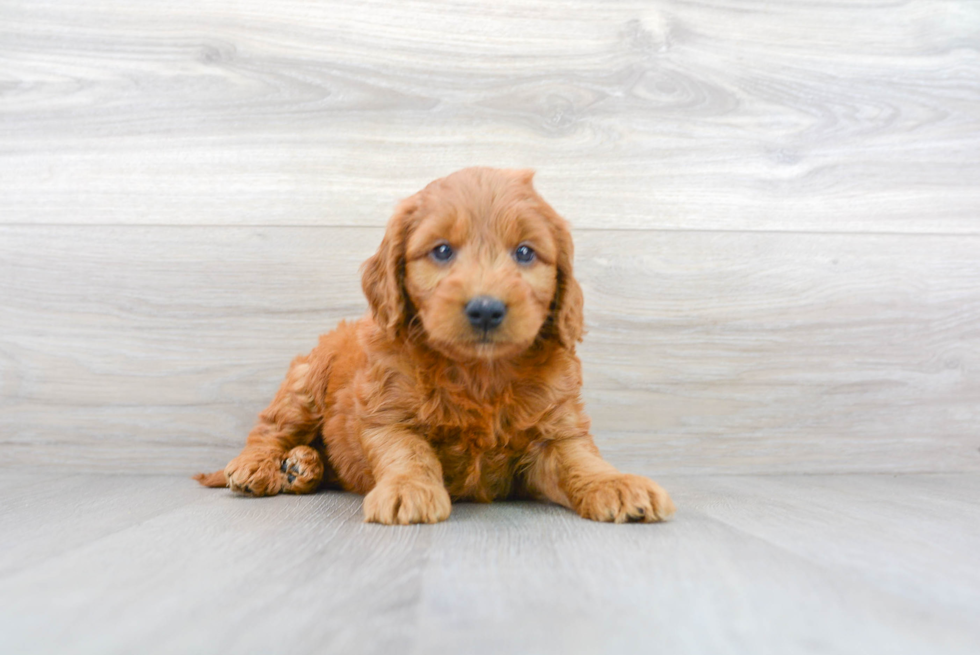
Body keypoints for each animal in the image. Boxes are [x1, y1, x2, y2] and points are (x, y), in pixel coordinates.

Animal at [196, 167, 676, 524]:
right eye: (442, 251)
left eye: (525, 253)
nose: (486, 309)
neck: (479, 373)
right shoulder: (386, 414)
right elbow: (409, 452)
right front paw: (408, 490)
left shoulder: (556, 432)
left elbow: (582, 461)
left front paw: (616, 484)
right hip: (305, 384)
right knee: (268, 429)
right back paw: (260, 466)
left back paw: (302, 467)